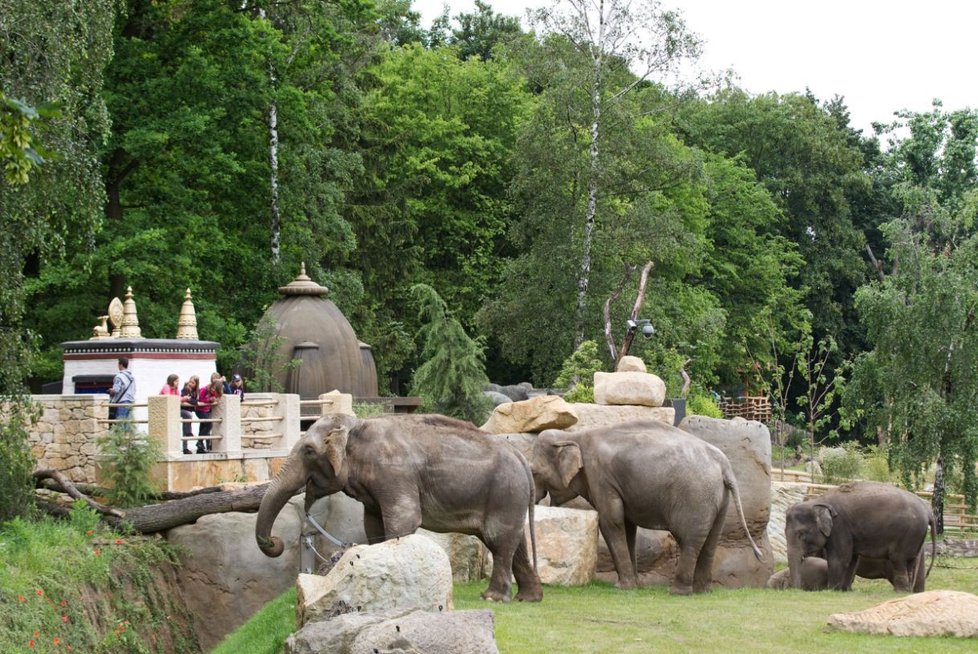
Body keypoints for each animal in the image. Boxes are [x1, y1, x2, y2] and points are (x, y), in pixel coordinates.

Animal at [252, 416, 540, 604]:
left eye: (309, 451)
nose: (275, 541)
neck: (356, 428)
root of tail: (522, 458)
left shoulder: (393, 473)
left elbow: (403, 520)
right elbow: (373, 524)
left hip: (505, 493)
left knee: (498, 541)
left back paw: (493, 598)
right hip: (510, 498)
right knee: (516, 544)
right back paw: (528, 598)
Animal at [528, 422, 764, 596]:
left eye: (535, 472)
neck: (574, 435)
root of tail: (725, 466)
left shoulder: (602, 479)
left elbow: (611, 522)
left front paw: (622, 587)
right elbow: (627, 526)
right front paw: (636, 586)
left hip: (696, 497)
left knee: (690, 540)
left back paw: (677, 592)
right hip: (719, 499)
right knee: (711, 540)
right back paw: (702, 591)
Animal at [780, 482, 936, 596]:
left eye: (801, 534)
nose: (796, 590)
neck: (818, 501)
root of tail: (928, 511)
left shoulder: (840, 528)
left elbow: (839, 559)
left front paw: (830, 590)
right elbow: (852, 560)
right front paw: (844, 590)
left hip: (907, 534)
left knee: (898, 559)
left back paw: (900, 592)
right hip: (915, 537)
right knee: (910, 562)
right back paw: (907, 592)